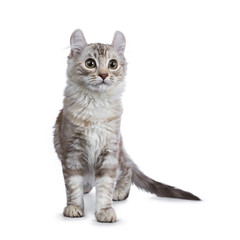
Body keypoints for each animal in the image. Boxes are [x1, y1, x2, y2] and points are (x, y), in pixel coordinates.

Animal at [54, 28, 201, 223]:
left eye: (113, 64)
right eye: (90, 63)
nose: (103, 75)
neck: (96, 106)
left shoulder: (109, 151)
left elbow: (105, 186)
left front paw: (105, 210)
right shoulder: (72, 151)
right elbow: (73, 186)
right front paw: (74, 207)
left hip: (119, 154)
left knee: (128, 170)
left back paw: (119, 192)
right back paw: (87, 186)